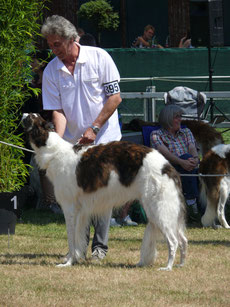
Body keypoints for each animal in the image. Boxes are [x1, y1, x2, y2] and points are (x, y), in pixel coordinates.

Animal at [22, 113, 187, 272]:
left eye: (30, 117)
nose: (22, 114)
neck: (54, 151)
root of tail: (167, 166)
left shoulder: (70, 208)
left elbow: (71, 239)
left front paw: (68, 263)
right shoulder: (81, 212)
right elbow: (78, 239)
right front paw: (73, 258)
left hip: (159, 209)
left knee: (174, 241)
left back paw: (168, 267)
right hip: (162, 211)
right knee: (183, 240)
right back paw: (180, 264)